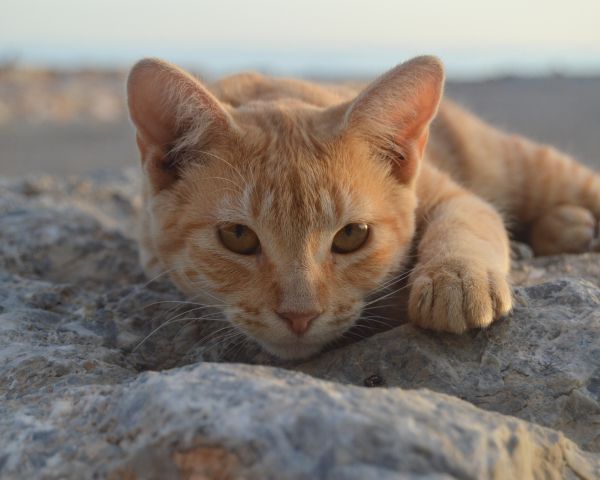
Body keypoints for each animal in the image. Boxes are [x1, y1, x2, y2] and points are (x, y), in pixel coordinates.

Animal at [126, 56, 600, 358]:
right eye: (238, 236)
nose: (299, 316)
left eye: (352, 236)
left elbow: (470, 219)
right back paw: (567, 226)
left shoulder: (451, 193)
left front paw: (456, 276)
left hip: (529, 165)